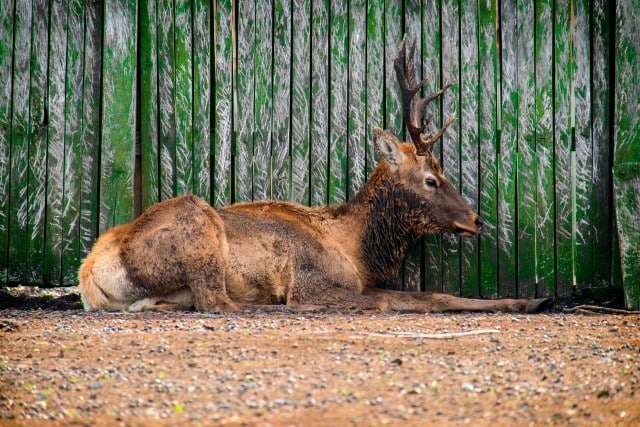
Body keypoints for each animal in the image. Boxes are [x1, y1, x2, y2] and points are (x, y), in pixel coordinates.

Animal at [79, 36, 552, 314]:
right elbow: (418, 297)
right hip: (197, 230)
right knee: (217, 302)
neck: (357, 251)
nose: (476, 219)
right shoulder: (312, 283)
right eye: (431, 179)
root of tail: (90, 271)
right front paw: (531, 299)